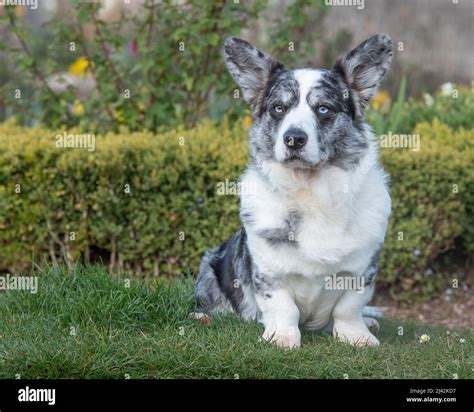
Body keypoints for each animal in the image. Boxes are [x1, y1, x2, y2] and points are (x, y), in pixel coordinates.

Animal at [194, 34, 394, 348]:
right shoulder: (268, 271)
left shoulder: (362, 270)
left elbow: (349, 308)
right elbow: (282, 306)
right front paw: (282, 339)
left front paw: (357, 337)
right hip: (209, 268)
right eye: (279, 108)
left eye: (323, 109)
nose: (294, 139)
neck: (310, 190)